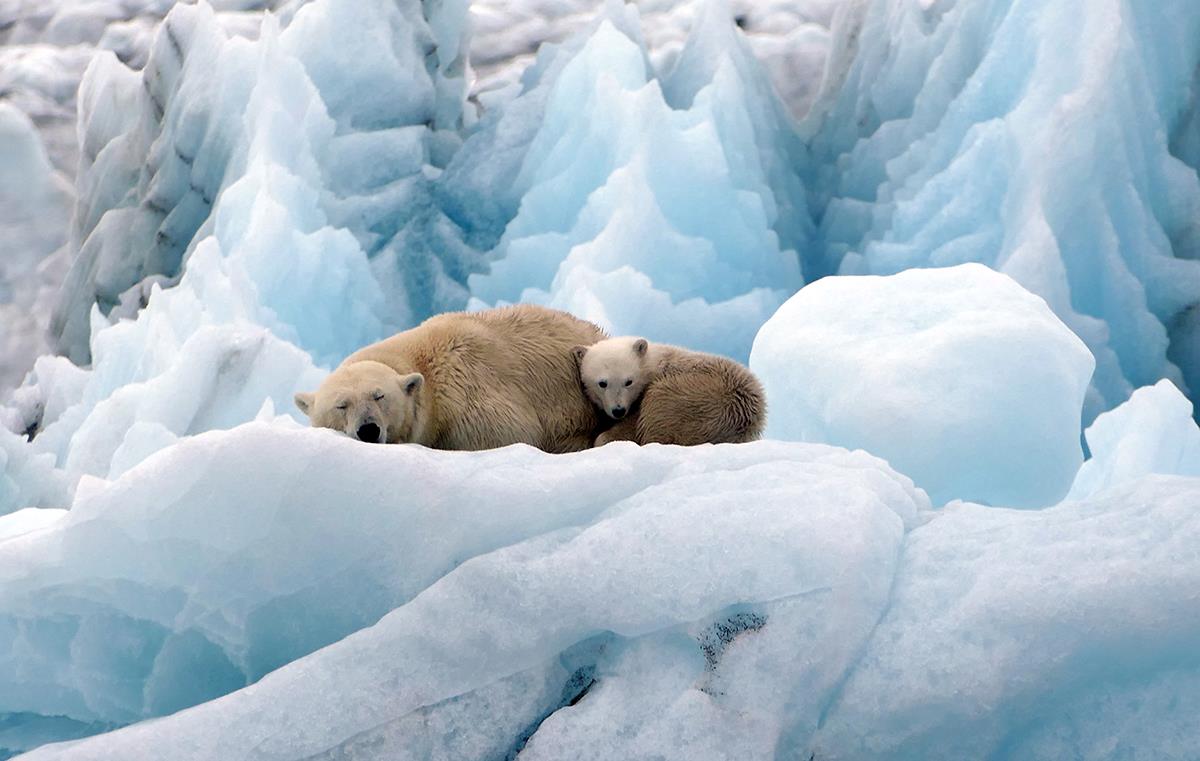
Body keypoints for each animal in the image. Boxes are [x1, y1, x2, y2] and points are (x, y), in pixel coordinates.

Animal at [573, 336, 763, 444]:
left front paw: (605, 438)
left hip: (693, 397)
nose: (618, 410)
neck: (652, 363)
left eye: (629, 381)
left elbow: (631, 425)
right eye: (602, 383)